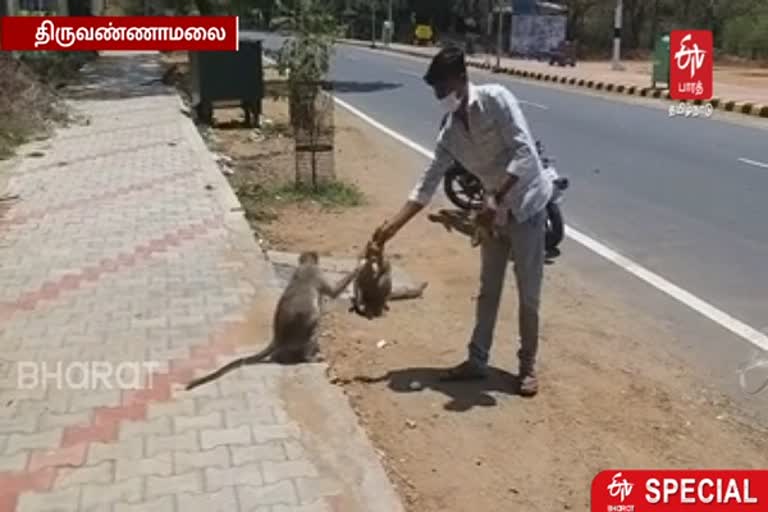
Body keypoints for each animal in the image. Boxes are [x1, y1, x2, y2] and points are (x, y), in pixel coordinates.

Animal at [189, 250, 364, 390]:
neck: (305, 265)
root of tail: (279, 338)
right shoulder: (317, 273)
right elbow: (333, 292)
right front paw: (359, 266)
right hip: (300, 337)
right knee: (314, 325)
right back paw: (310, 356)